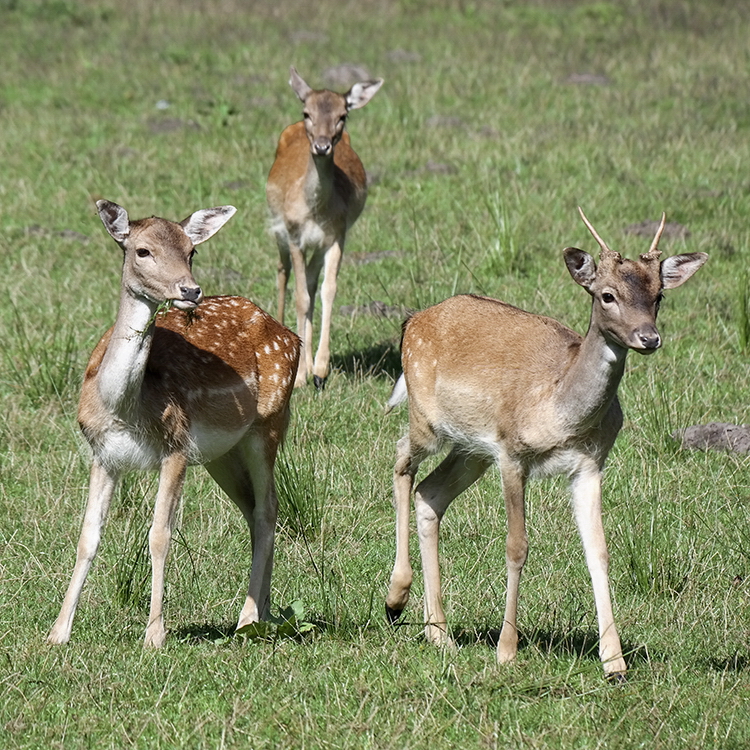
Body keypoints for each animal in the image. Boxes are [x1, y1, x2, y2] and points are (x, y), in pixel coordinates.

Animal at [47, 201, 302, 652]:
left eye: (191, 251)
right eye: (143, 250)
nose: (190, 290)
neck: (125, 410)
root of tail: (291, 336)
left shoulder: (177, 446)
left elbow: (160, 535)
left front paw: (154, 635)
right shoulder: (101, 453)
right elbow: (87, 536)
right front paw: (58, 632)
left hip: (268, 423)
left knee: (270, 507)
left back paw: (247, 620)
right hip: (222, 454)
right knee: (253, 508)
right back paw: (265, 611)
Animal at [268, 67, 384, 390]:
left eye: (343, 115)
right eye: (307, 112)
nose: (321, 146)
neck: (314, 211)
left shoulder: (337, 236)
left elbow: (326, 290)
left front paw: (319, 370)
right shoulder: (294, 235)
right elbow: (300, 297)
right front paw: (298, 377)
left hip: (318, 246)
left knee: (309, 279)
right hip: (278, 231)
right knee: (283, 273)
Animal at [384, 209, 708, 680]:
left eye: (659, 295)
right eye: (607, 295)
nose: (649, 338)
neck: (558, 413)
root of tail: (412, 321)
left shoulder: (589, 464)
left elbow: (599, 550)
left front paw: (614, 661)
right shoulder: (511, 453)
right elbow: (516, 546)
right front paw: (506, 650)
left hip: (471, 450)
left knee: (431, 493)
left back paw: (438, 632)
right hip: (427, 420)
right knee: (401, 461)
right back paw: (395, 600)